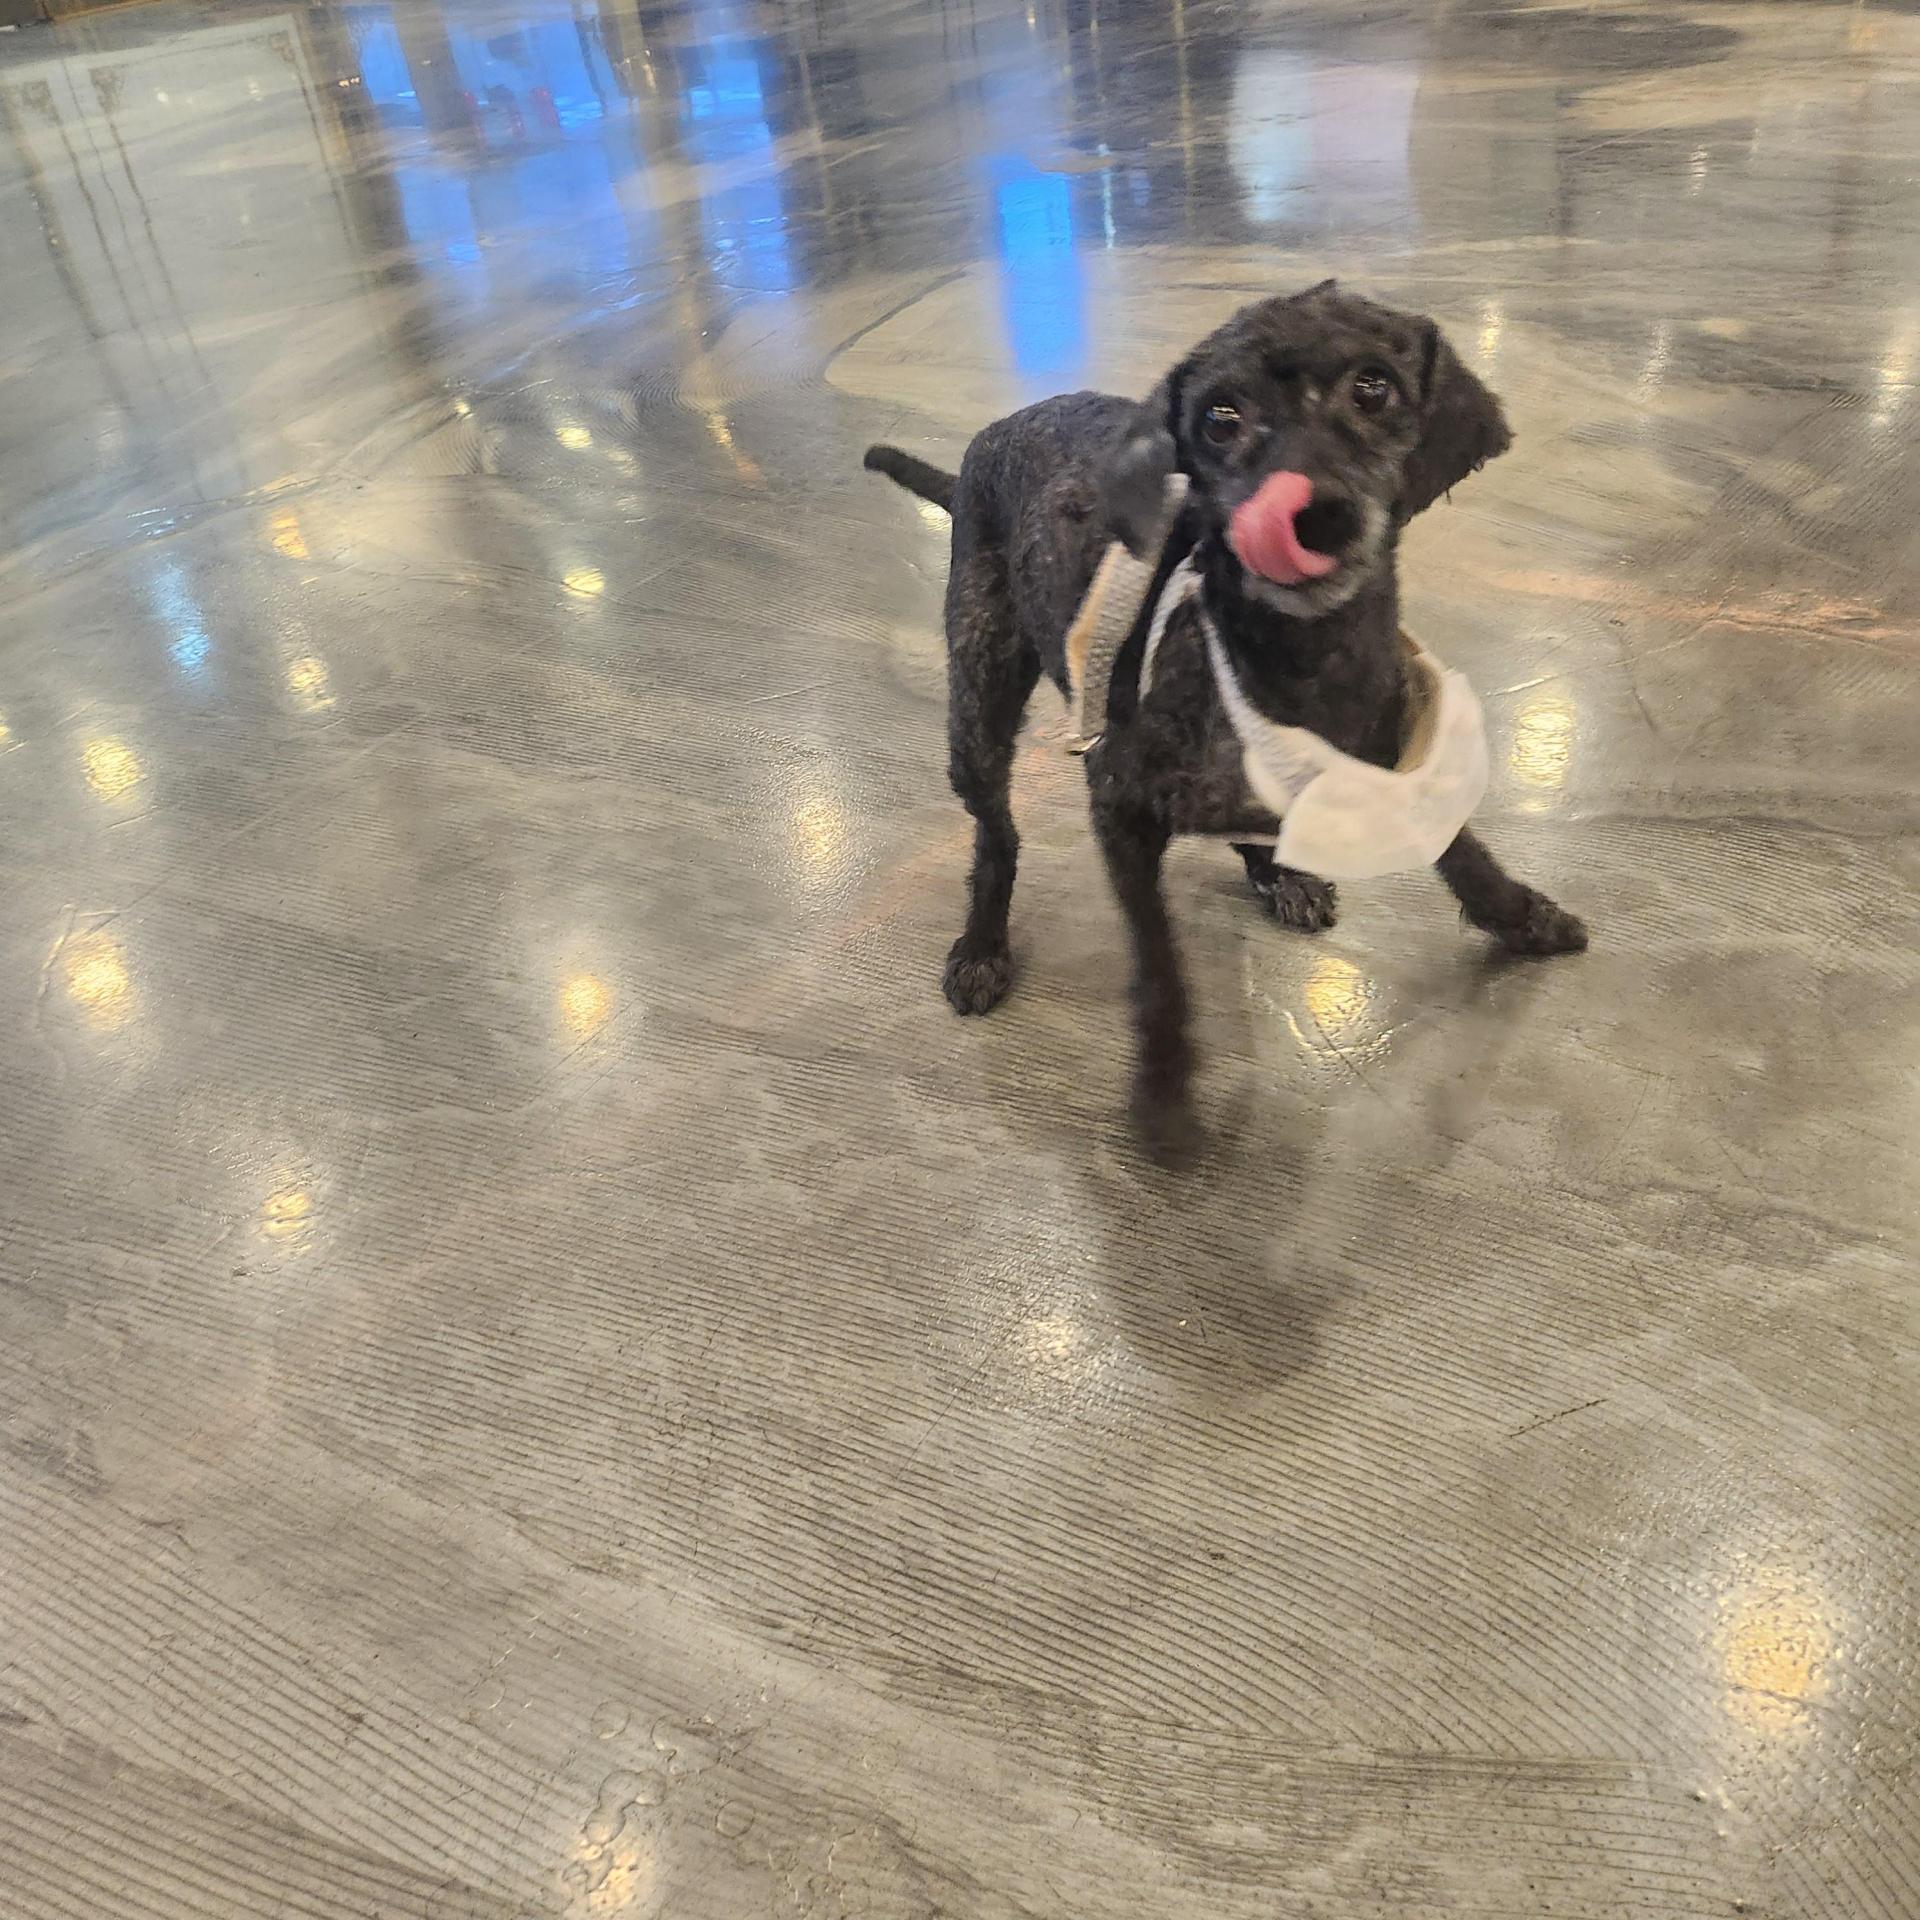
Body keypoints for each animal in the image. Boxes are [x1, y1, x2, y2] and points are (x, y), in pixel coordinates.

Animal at [865, 281, 1586, 1148]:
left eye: (1373, 387)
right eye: (1221, 415)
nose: (1312, 514)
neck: (1294, 661)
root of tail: (994, 433)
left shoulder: (1398, 764)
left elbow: (1468, 855)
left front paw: (1525, 919)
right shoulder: (1119, 803)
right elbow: (1159, 966)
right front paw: (1165, 1093)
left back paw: (1278, 870)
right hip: (977, 702)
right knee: (996, 835)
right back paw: (983, 941)